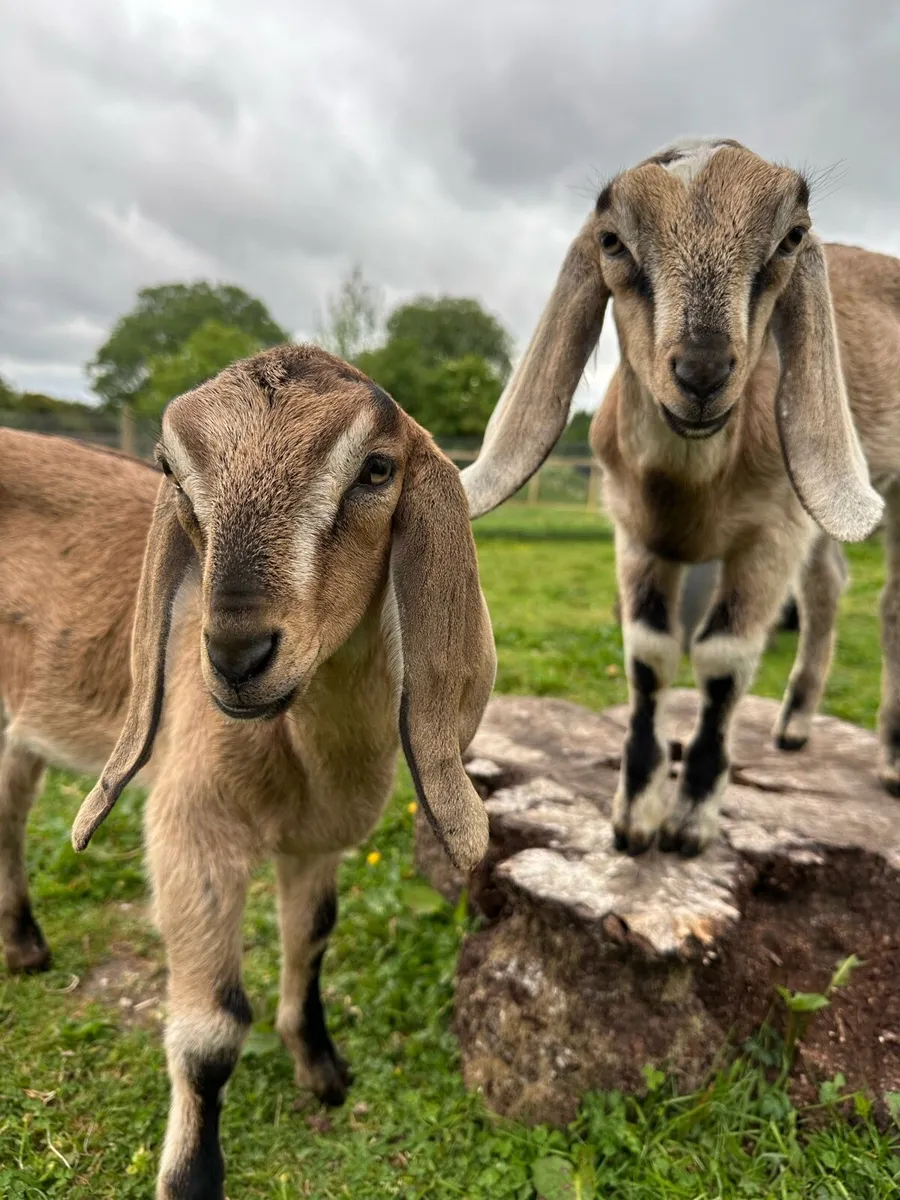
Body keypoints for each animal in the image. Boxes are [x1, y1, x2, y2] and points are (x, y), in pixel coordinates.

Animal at [0, 344, 495, 1199]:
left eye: (376, 469)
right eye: (170, 467)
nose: (235, 654)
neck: (306, 755)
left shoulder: (317, 842)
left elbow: (313, 939)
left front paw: (321, 1068)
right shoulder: (193, 828)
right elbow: (212, 1029)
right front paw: (191, 1178)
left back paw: (25, 945)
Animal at [462, 136, 898, 857]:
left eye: (791, 238)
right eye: (613, 241)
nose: (701, 374)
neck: (690, 494)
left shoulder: (771, 533)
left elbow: (722, 661)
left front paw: (691, 820)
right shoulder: (636, 533)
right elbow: (649, 653)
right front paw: (634, 818)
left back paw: (889, 756)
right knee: (828, 586)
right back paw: (794, 726)